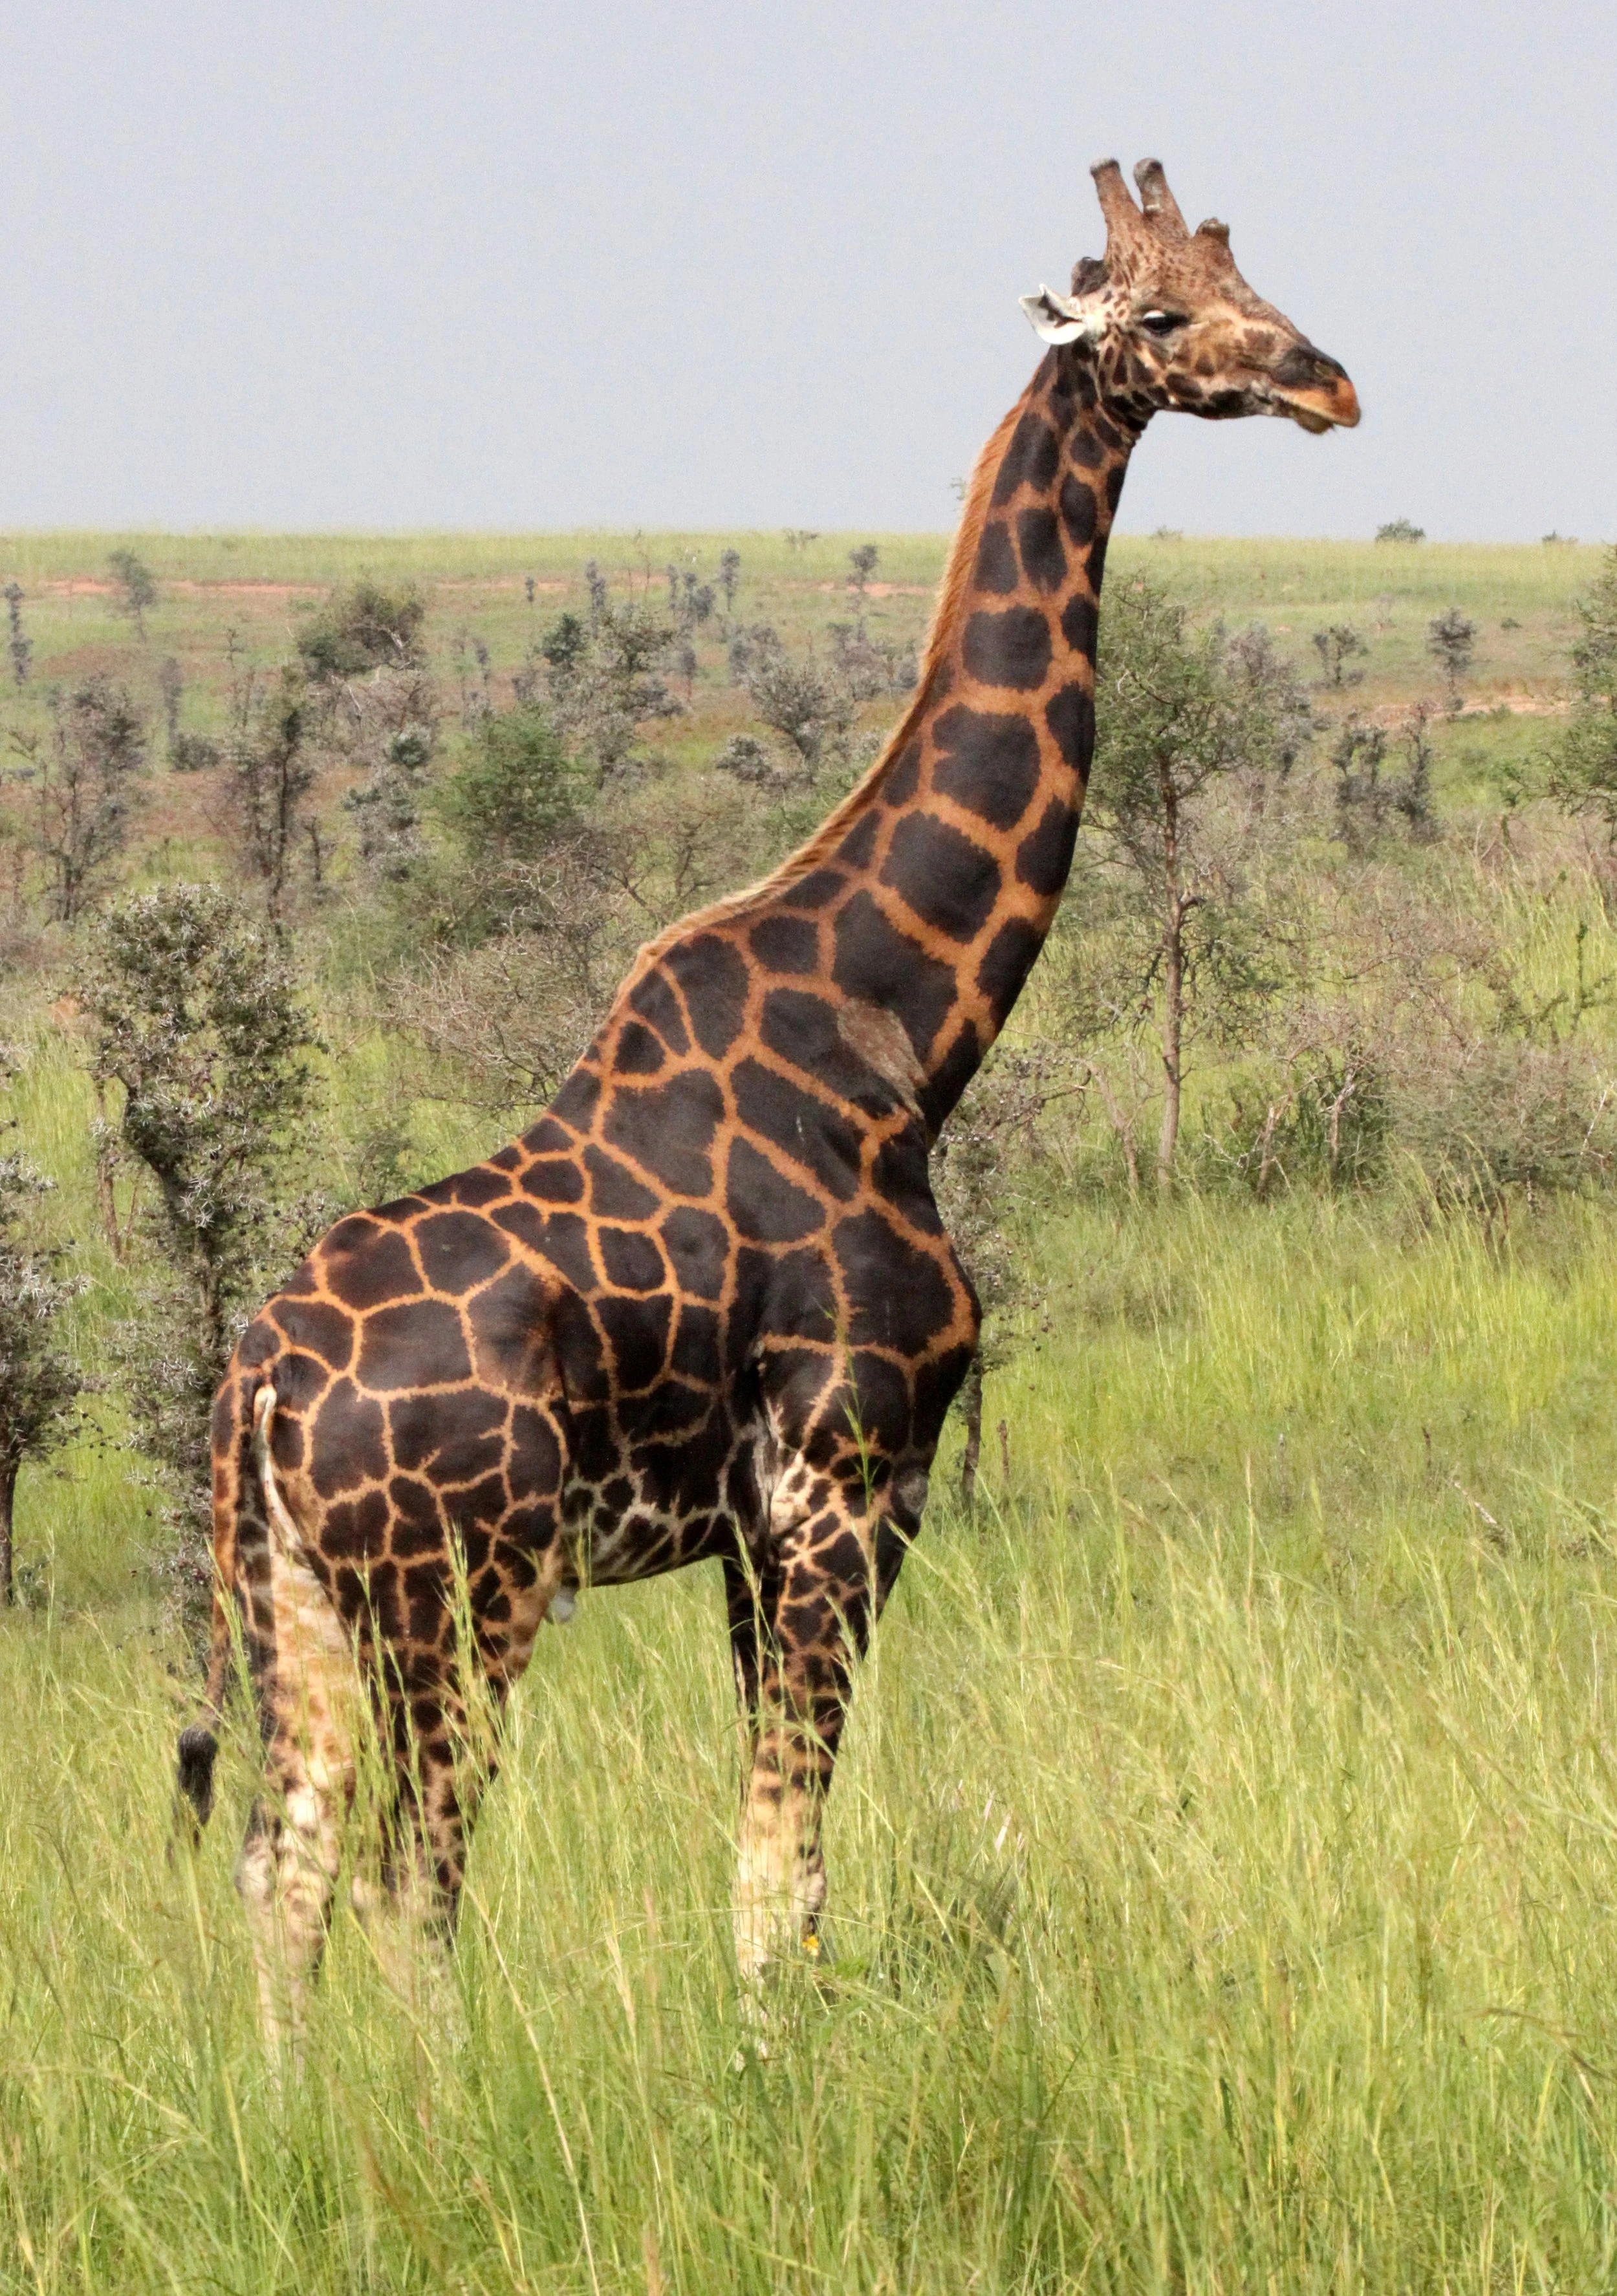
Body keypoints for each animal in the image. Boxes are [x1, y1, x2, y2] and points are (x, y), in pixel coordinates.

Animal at [178, 158, 1358, 2047]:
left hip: (296, 1597)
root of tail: (259, 1389)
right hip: (465, 1585)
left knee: (285, 1874)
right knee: (408, 1882)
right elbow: (779, 1865)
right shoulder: (849, 1475)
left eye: (1257, 281)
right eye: (1168, 316)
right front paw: (777, 2070)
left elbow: (774, 1855)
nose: (1329, 382)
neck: (902, 1033)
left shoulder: (759, 1521)